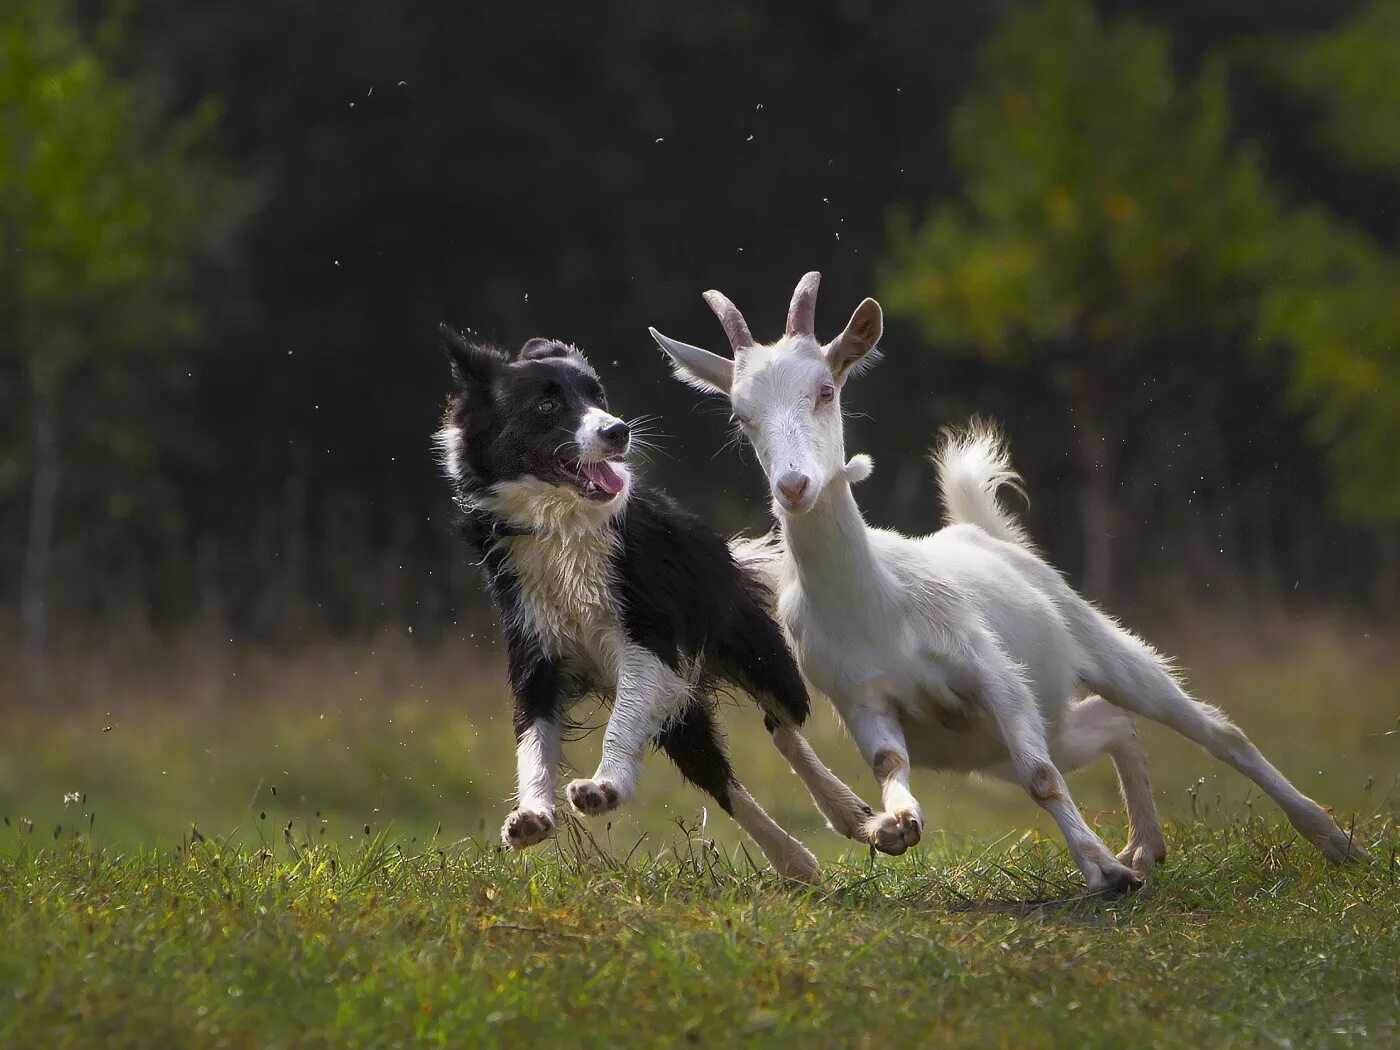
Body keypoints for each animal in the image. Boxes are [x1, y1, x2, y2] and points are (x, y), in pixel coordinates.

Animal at [436, 327, 823, 879]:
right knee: (720, 776)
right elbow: (531, 742)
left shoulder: (649, 641)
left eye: (597, 396)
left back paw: (867, 822)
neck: (563, 527)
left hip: (755, 652)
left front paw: (603, 788)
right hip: (686, 712)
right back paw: (796, 861)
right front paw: (531, 816)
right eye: (547, 403)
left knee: (785, 723)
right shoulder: (536, 656)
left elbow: (622, 721)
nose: (618, 431)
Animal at [649, 273, 1372, 896]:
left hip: (1094, 645)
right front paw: (893, 825)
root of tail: (984, 534)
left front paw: (1105, 873)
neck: (876, 605)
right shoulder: (863, 701)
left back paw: (1334, 842)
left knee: (1211, 728)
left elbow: (1043, 778)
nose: (794, 485)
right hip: (1003, 739)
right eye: (741, 415)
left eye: (826, 389)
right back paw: (1148, 845)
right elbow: (889, 768)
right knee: (1109, 724)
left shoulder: (990, 671)